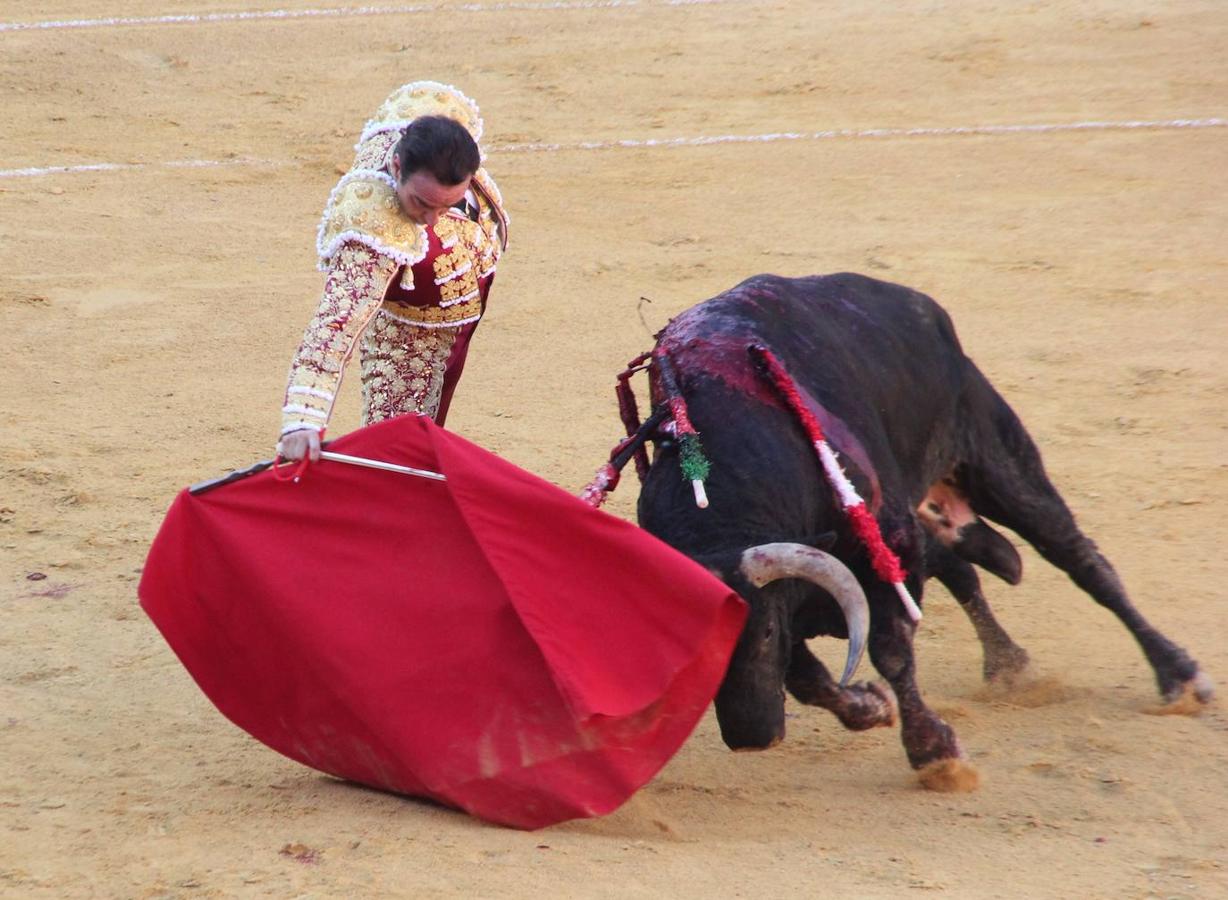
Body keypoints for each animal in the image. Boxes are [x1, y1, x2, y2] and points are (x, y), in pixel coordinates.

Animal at [618, 270, 1213, 780]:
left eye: (759, 631)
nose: (752, 737)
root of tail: (917, 304)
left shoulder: (886, 546)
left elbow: (890, 646)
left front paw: (934, 753)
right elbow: (808, 678)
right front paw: (869, 706)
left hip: (997, 458)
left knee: (1080, 558)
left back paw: (1179, 676)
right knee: (965, 570)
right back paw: (1007, 664)